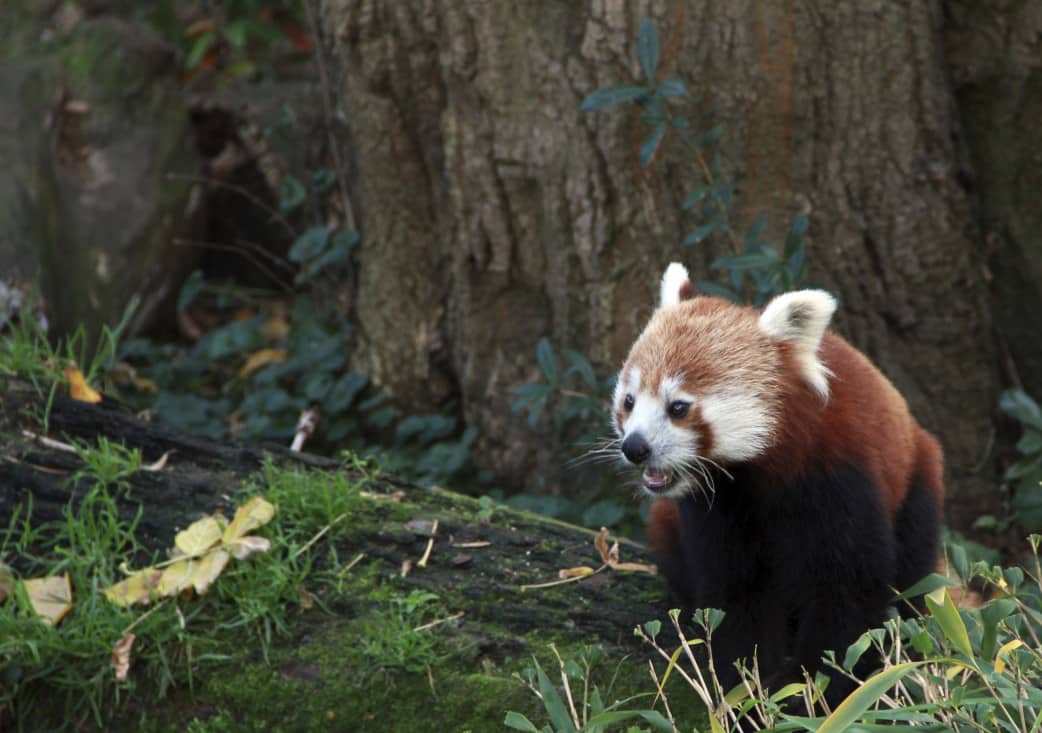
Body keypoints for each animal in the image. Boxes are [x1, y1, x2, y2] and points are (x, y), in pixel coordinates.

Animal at [613, 262, 943, 704]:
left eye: (678, 407)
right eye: (629, 401)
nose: (635, 447)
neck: (760, 474)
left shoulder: (839, 480)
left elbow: (848, 591)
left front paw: (812, 690)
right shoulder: (716, 510)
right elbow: (736, 594)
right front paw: (746, 687)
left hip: (918, 480)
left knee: (914, 568)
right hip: (666, 522)